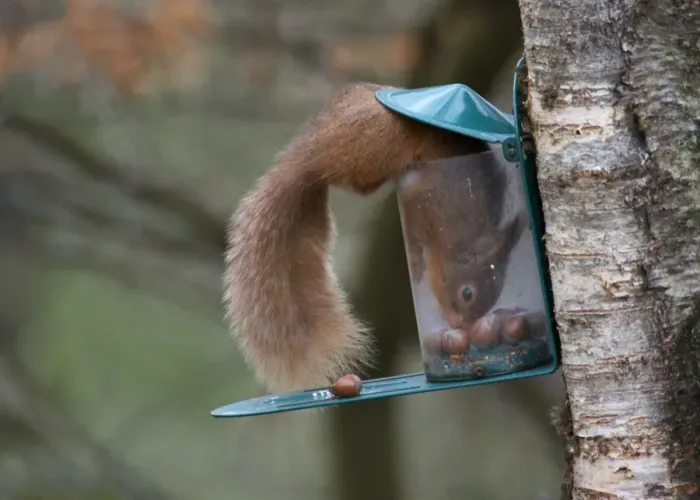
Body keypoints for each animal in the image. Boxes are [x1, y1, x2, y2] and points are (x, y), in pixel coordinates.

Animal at [223, 82, 523, 394]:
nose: (461, 327)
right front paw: (417, 263)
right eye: (467, 293)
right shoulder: (429, 207)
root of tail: (315, 154)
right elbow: (418, 237)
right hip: (378, 146)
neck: (460, 236)